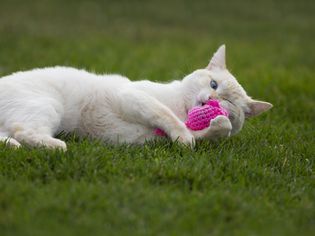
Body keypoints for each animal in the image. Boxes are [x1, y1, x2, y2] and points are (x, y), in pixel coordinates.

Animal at [0, 45, 272, 150]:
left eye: (228, 103)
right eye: (213, 84)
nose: (210, 102)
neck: (183, 110)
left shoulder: (145, 140)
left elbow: (217, 130)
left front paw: (217, 125)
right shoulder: (132, 96)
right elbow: (166, 116)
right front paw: (184, 136)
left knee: (11, 135)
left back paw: (15, 146)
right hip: (47, 105)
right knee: (23, 130)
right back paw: (57, 146)